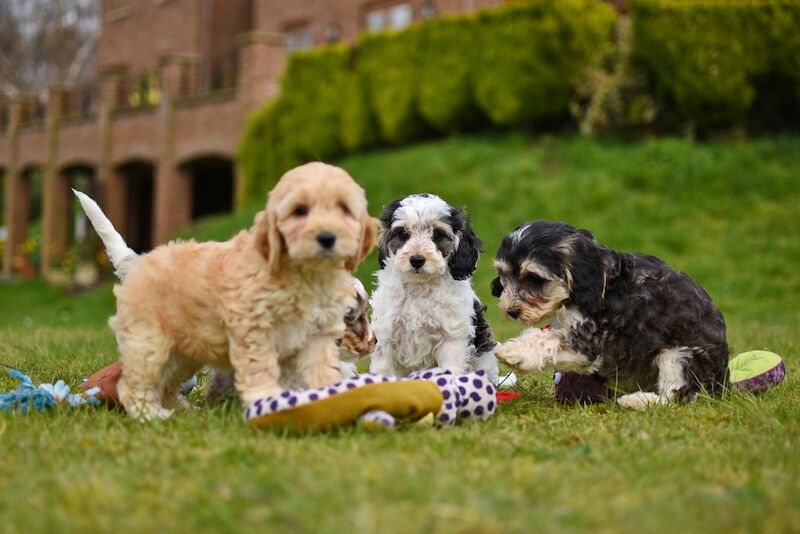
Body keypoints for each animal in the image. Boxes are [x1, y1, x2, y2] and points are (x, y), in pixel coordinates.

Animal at [370, 194, 496, 386]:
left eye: (437, 234)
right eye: (403, 234)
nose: (417, 260)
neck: (419, 286)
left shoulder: (452, 336)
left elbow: (450, 368)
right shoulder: (386, 333)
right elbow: (384, 370)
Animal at [490, 222, 728, 410]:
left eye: (535, 278)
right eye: (503, 275)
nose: (511, 311)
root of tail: (723, 381)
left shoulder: (590, 339)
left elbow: (547, 340)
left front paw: (512, 352)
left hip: (680, 356)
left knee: (676, 397)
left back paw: (635, 402)